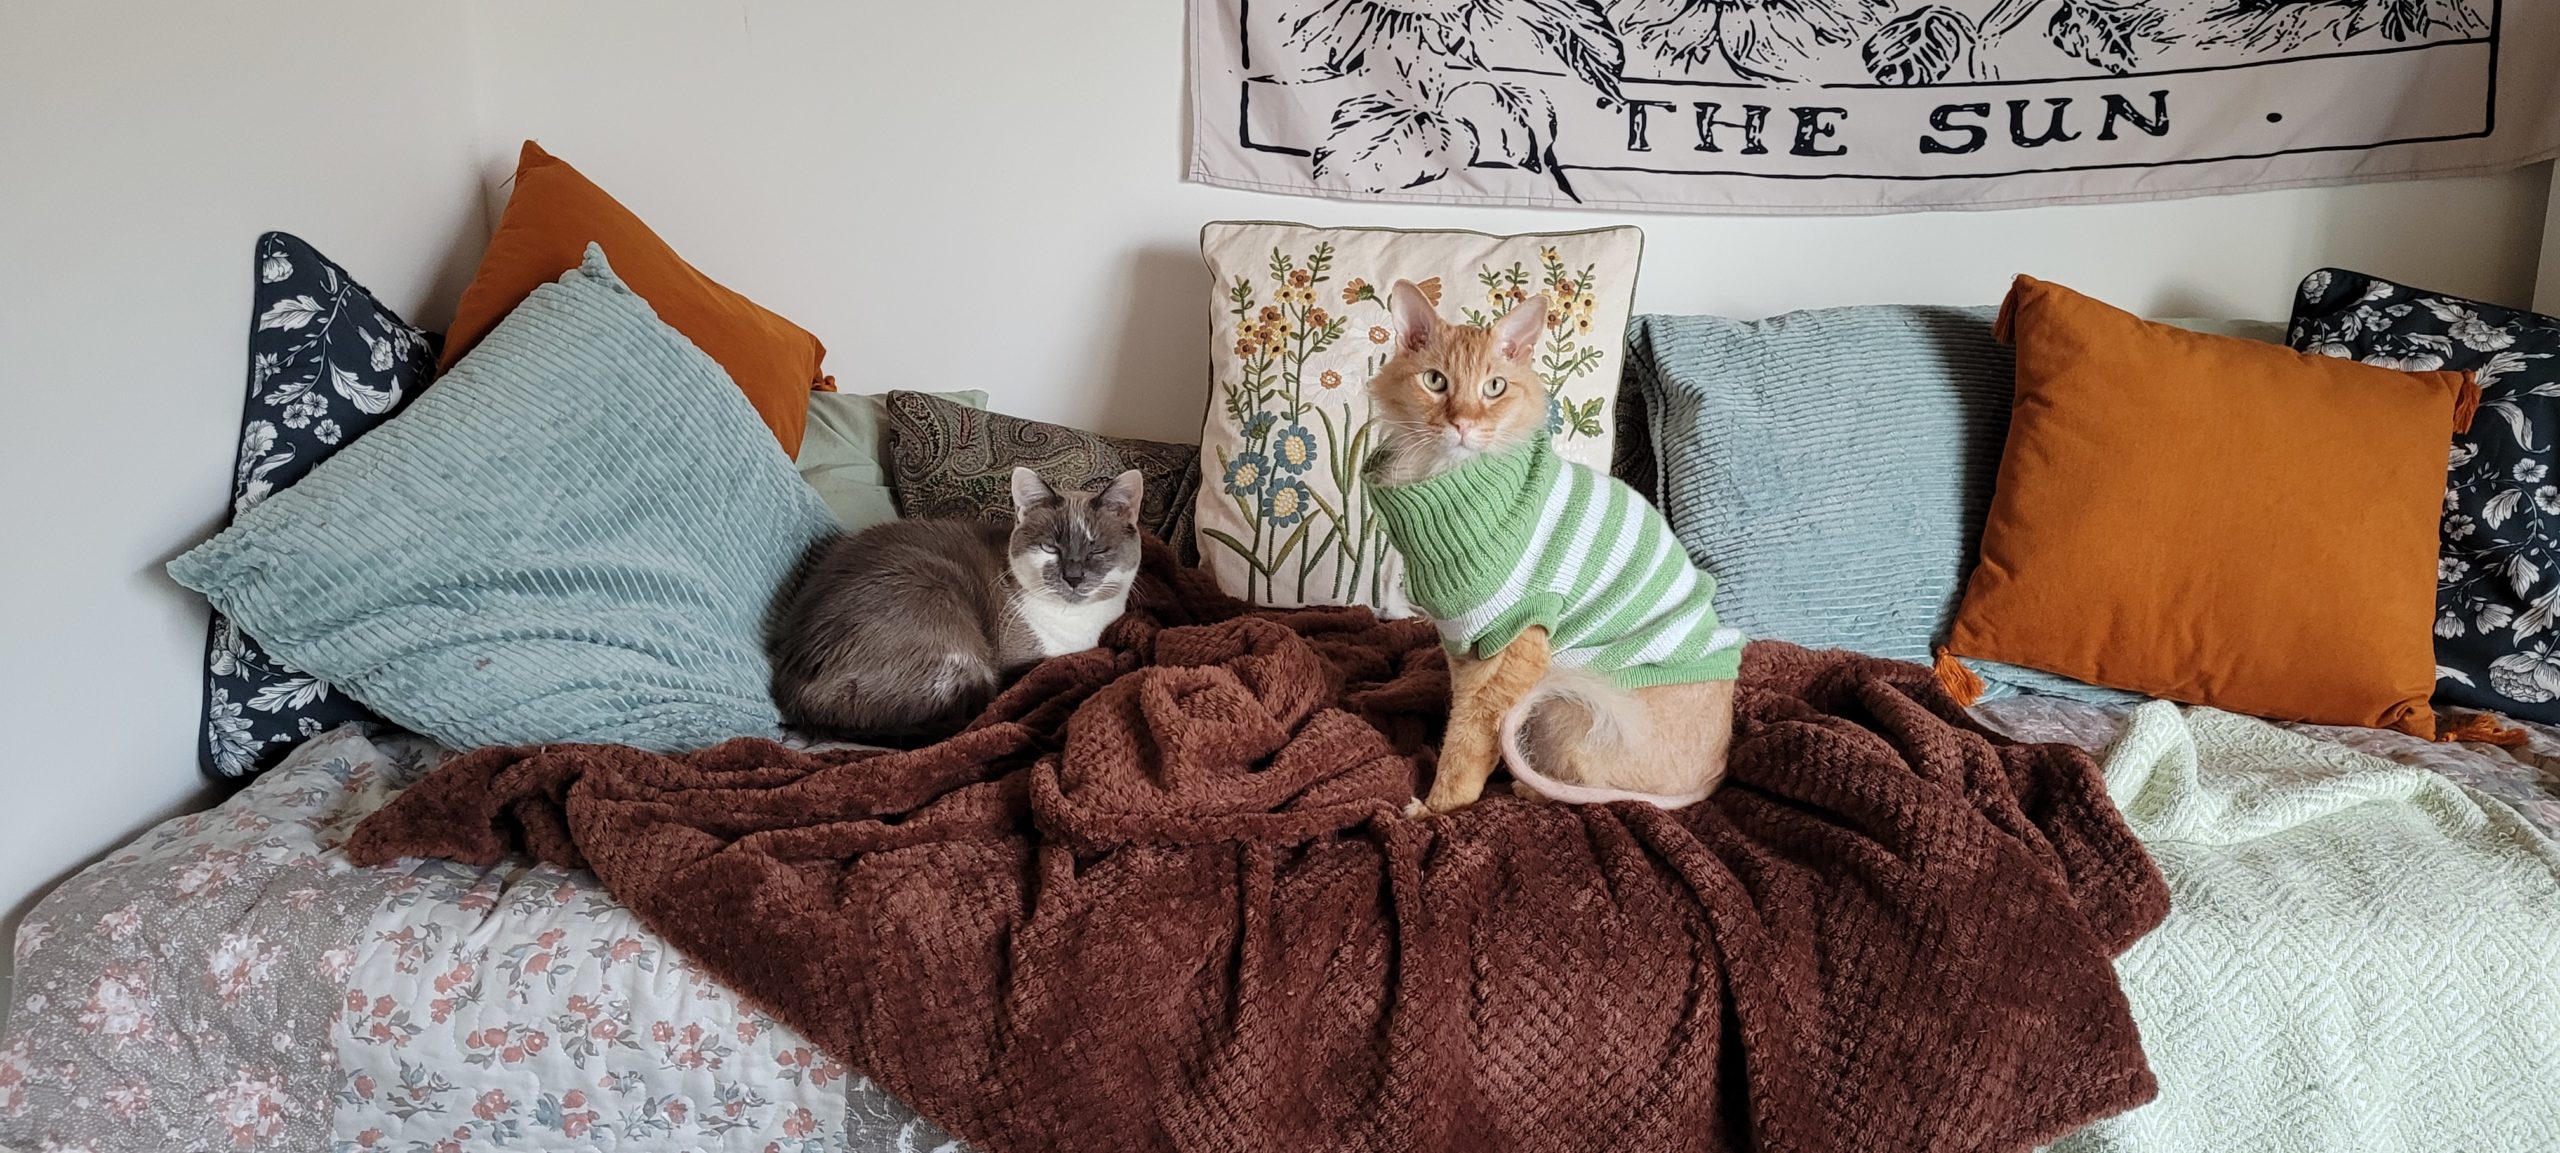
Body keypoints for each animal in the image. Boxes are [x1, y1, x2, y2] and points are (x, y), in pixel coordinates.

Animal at [762, 466, 1146, 737]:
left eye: (1097, 550)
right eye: (1050, 548)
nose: (1073, 577)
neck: (1079, 630)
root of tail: (793, 689)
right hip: (948, 619)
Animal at [1361, 283, 1740, 814]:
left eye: (1494, 387)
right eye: (1435, 381)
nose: (1462, 423)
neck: (1443, 478)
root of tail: (1716, 774)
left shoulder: (1519, 642)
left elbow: (1468, 740)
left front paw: (1439, 809)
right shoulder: (1462, 644)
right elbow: (1461, 721)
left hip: (1576, 710)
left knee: (1594, 793)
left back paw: (1526, 787)